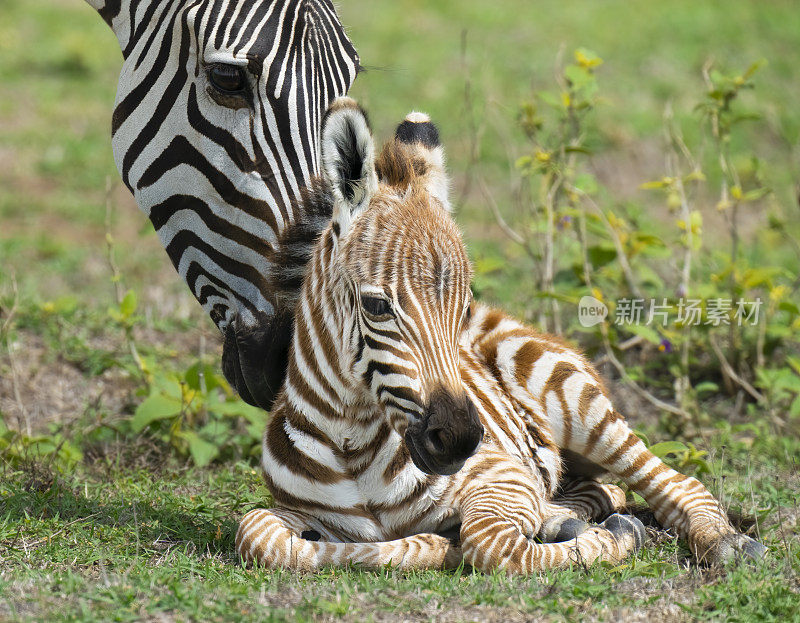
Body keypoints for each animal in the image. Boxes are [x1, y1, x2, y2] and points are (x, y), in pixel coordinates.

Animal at [234, 100, 764, 572]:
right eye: (376, 306)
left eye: (462, 307)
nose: (462, 438)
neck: (353, 448)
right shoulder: (290, 513)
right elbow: (258, 535)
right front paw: (438, 545)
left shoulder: (502, 475)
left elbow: (491, 544)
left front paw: (613, 537)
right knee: (600, 489)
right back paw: (561, 518)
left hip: (579, 405)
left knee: (672, 482)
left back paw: (725, 543)